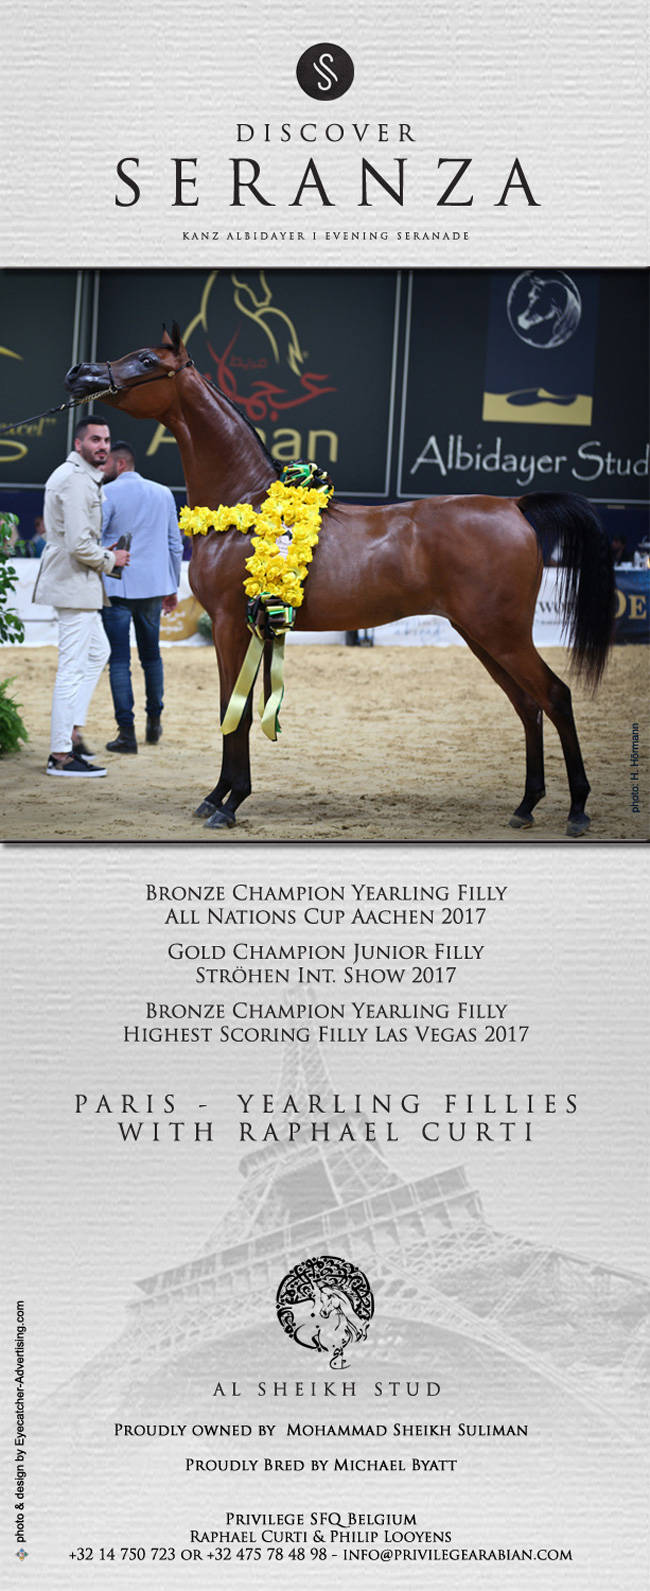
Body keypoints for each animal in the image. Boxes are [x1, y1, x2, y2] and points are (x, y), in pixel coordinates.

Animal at [64, 322, 615, 837]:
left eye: (145, 359)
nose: (79, 373)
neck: (245, 503)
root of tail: (515, 506)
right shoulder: (248, 628)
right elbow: (232, 708)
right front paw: (219, 795)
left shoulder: (229, 625)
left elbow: (233, 711)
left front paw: (229, 803)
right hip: (482, 636)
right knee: (528, 705)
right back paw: (526, 805)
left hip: (503, 635)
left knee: (556, 697)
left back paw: (578, 809)